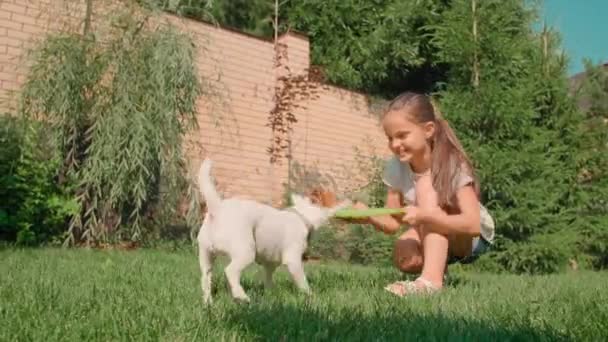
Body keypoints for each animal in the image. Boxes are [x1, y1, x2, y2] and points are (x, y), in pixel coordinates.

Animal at [195, 158, 346, 302]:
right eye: (334, 197)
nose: (348, 199)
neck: (302, 216)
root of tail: (218, 208)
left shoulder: (270, 263)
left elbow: (268, 279)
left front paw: (270, 295)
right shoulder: (293, 261)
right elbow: (303, 284)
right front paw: (310, 298)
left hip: (206, 255)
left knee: (205, 279)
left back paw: (208, 303)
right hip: (245, 252)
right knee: (230, 271)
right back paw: (241, 296)